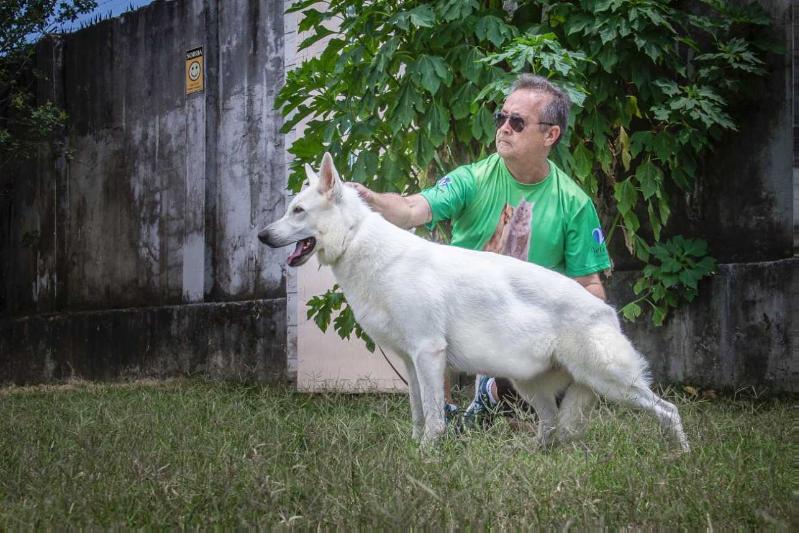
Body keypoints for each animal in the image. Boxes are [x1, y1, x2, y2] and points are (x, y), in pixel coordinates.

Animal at [260, 152, 692, 450]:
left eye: (298, 210)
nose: (262, 236)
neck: (355, 237)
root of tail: (606, 311)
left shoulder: (428, 353)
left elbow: (434, 417)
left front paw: (427, 455)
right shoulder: (409, 361)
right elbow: (418, 411)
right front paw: (414, 449)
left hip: (611, 381)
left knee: (668, 410)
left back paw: (681, 454)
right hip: (529, 384)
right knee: (552, 422)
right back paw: (532, 455)